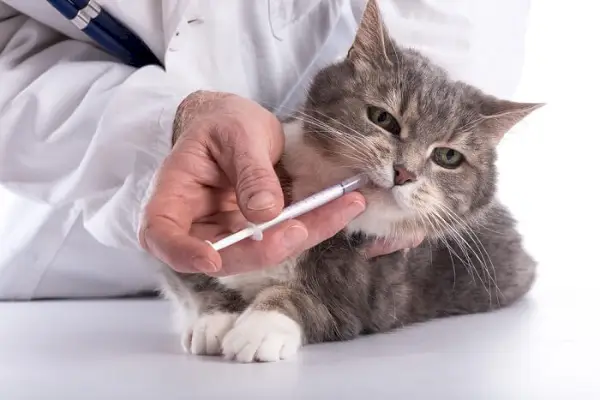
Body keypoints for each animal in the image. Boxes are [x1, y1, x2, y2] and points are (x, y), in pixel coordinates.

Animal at [159, 0, 544, 362]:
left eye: (448, 157)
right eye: (382, 118)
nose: (404, 173)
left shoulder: (366, 293)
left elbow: (308, 302)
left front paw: (259, 327)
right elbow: (196, 278)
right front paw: (215, 319)